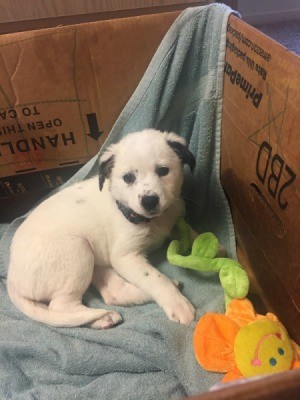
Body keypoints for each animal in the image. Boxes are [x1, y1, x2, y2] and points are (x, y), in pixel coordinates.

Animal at [7, 130, 196, 330]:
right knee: (61, 306)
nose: (149, 201)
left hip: (97, 262)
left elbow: (193, 234)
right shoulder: (125, 257)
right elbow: (156, 278)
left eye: (163, 171)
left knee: (112, 293)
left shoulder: (175, 220)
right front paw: (178, 304)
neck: (152, 220)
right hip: (78, 251)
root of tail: (11, 279)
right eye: (128, 177)